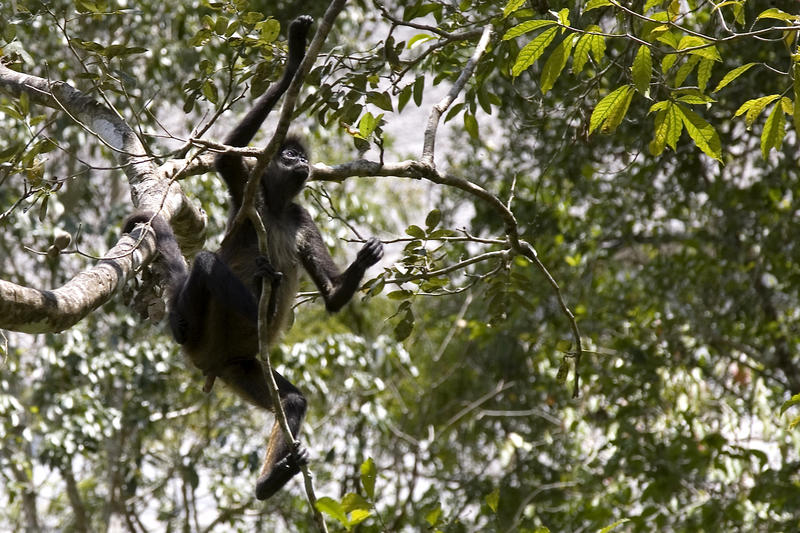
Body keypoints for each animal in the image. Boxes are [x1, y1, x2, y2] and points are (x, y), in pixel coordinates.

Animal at [125, 15, 384, 498]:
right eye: (289, 153)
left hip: (239, 367)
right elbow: (227, 155)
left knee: (292, 400)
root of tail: (209, 361)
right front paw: (295, 59)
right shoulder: (248, 189)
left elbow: (333, 295)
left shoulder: (302, 217)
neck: (277, 207)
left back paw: (270, 482)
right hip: (202, 334)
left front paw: (365, 260)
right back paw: (213, 312)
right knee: (208, 265)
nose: (299, 161)